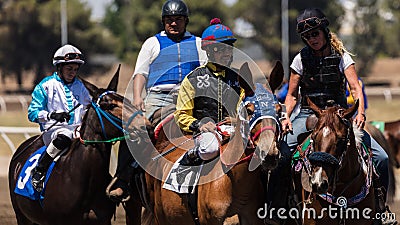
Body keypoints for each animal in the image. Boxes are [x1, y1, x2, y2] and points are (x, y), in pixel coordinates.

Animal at [8, 65, 150, 225]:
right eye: (111, 105)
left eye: (126, 100)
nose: (146, 125)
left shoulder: (103, 219)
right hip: (21, 216)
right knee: (60, 139)